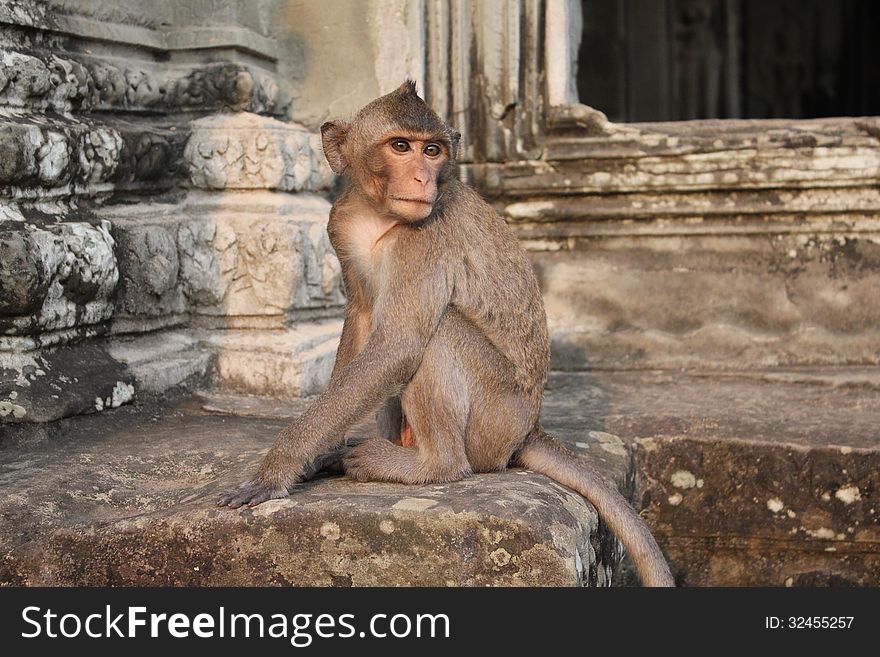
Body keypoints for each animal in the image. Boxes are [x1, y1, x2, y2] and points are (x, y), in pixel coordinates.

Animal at [220, 79, 672, 588]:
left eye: (432, 150)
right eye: (401, 146)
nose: (422, 179)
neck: (379, 217)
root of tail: (528, 430)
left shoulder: (423, 239)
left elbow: (397, 347)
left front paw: (276, 470)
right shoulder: (341, 226)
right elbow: (362, 319)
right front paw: (319, 453)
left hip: (494, 420)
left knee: (439, 336)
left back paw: (430, 466)